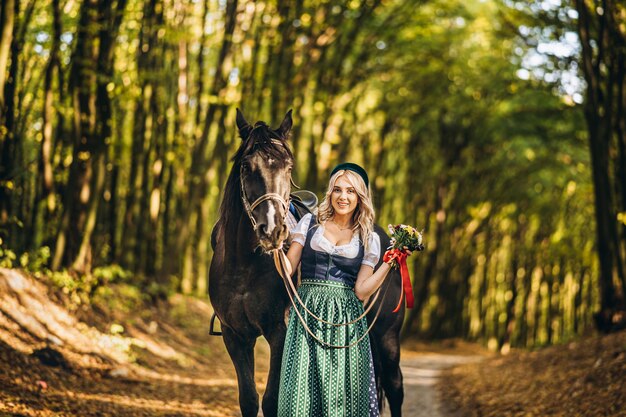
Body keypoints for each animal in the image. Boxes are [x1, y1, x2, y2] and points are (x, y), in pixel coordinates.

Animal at [210, 109, 404, 414]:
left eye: (288, 168)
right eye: (246, 167)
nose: (273, 230)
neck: (243, 267)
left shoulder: (279, 332)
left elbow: (271, 400)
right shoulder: (235, 336)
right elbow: (249, 399)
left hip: (388, 336)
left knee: (395, 388)